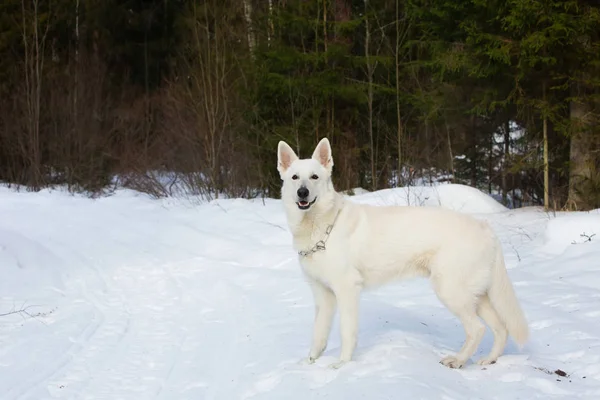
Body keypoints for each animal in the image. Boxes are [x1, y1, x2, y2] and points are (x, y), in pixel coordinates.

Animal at [278, 137, 528, 368]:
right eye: (295, 178)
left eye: (314, 177)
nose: (302, 192)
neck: (322, 226)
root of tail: (486, 229)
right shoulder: (323, 295)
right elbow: (318, 334)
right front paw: (310, 363)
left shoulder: (347, 290)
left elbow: (347, 332)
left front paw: (342, 365)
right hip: (476, 296)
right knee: (501, 328)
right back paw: (489, 359)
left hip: (451, 292)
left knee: (477, 329)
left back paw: (457, 360)